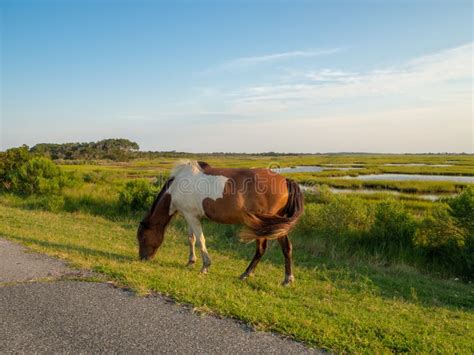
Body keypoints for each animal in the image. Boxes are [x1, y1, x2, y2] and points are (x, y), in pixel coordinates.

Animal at [137, 161, 306, 286]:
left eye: (143, 238)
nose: (143, 258)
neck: (176, 186)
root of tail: (286, 181)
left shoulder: (192, 217)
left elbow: (200, 240)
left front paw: (205, 267)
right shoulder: (190, 216)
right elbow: (191, 239)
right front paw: (191, 261)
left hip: (262, 225)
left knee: (261, 249)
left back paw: (246, 274)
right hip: (276, 225)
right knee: (286, 248)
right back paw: (287, 279)